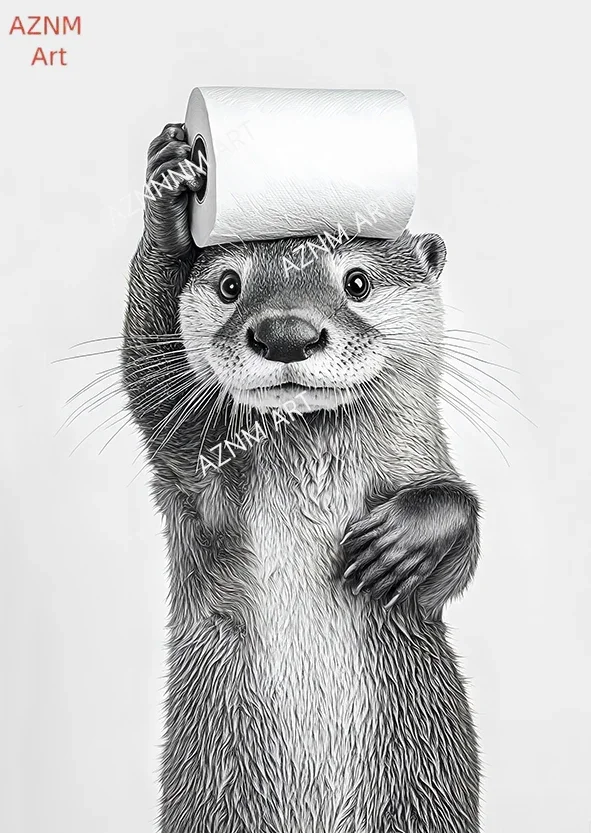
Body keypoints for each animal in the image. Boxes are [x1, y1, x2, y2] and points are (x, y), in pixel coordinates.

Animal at [123, 123, 481, 832]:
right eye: (231, 284)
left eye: (358, 282)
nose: (286, 331)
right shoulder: (188, 459)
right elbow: (151, 369)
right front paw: (170, 194)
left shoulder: (425, 461)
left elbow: (463, 540)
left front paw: (401, 543)